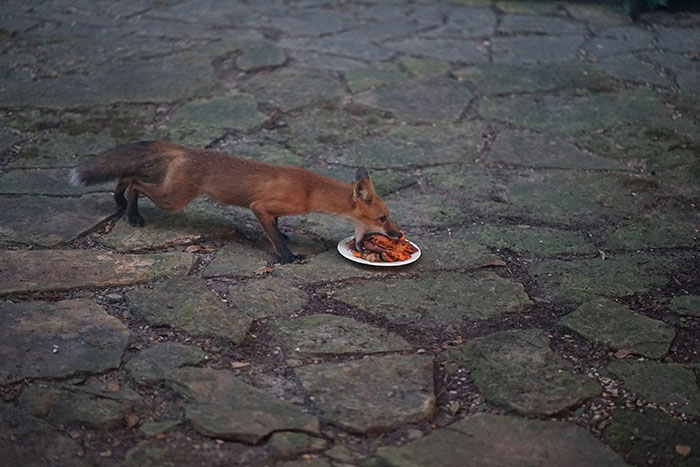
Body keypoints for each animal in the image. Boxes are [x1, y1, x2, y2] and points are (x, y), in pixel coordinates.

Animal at [69, 141, 401, 263]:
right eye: (383, 218)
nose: (398, 235)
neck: (309, 190)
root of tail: (186, 149)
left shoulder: (271, 210)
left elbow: (277, 227)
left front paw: (284, 238)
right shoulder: (260, 207)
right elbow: (274, 237)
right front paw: (288, 257)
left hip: (166, 185)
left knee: (129, 174)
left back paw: (119, 201)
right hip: (172, 199)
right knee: (136, 182)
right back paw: (132, 214)